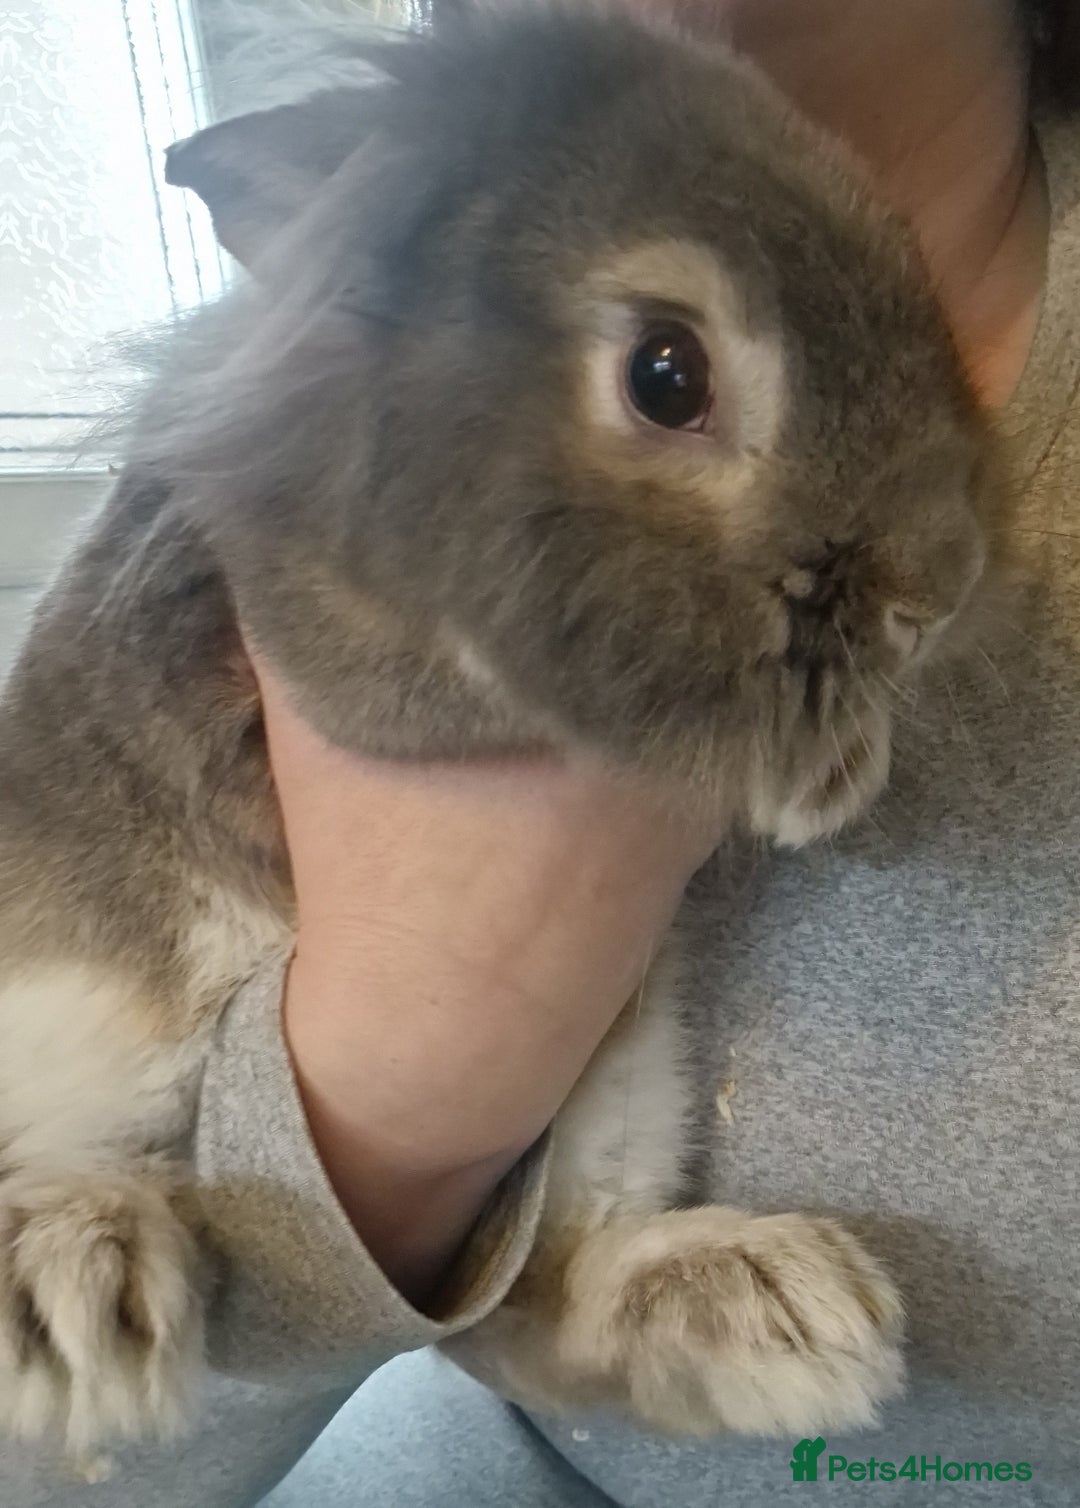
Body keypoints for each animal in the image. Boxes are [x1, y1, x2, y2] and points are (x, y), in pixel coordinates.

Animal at [0, 0, 1006, 1456]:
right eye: (666, 373)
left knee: (552, 1304)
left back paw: (768, 1302)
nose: (943, 583)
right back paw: (68, 1275)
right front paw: (824, 769)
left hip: (614, 1076)